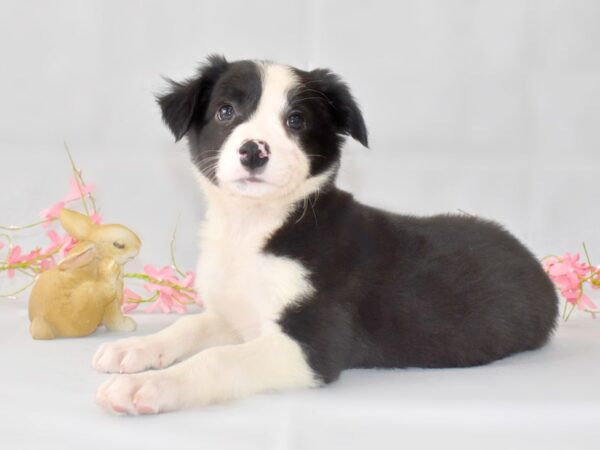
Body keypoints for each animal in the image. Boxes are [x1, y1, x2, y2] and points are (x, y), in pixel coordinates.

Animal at [92, 54, 556, 414]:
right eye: (226, 111)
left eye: (296, 120)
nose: (253, 151)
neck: (254, 229)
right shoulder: (237, 314)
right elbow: (188, 327)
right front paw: (133, 349)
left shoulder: (311, 345)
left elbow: (217, 359)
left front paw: (148, 386)